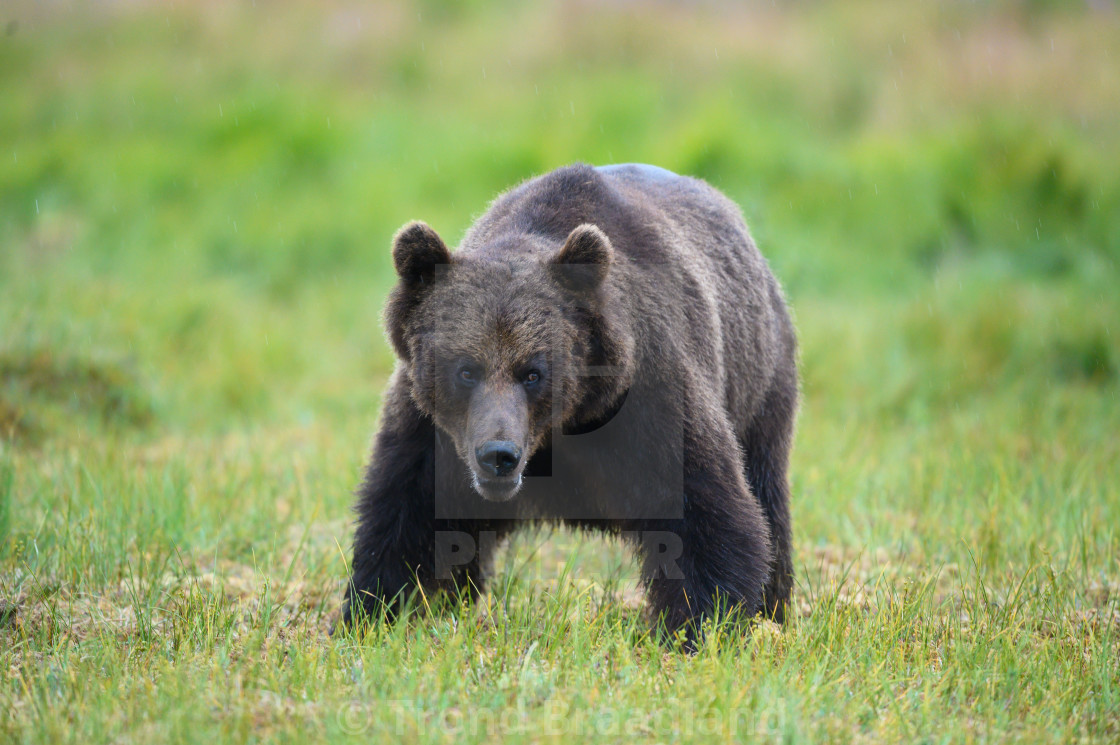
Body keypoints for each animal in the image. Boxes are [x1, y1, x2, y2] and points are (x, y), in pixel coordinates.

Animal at [338, 164, 797, 645]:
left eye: (533, 372)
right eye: (465, 370)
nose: (498, 455)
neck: (563, 428)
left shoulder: (651, 394)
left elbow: (708, 514)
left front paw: (704, 627)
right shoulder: (433, 432)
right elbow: (411, 512)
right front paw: (378, 611)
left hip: (760, 384)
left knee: (766, 491)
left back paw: (775, 610)